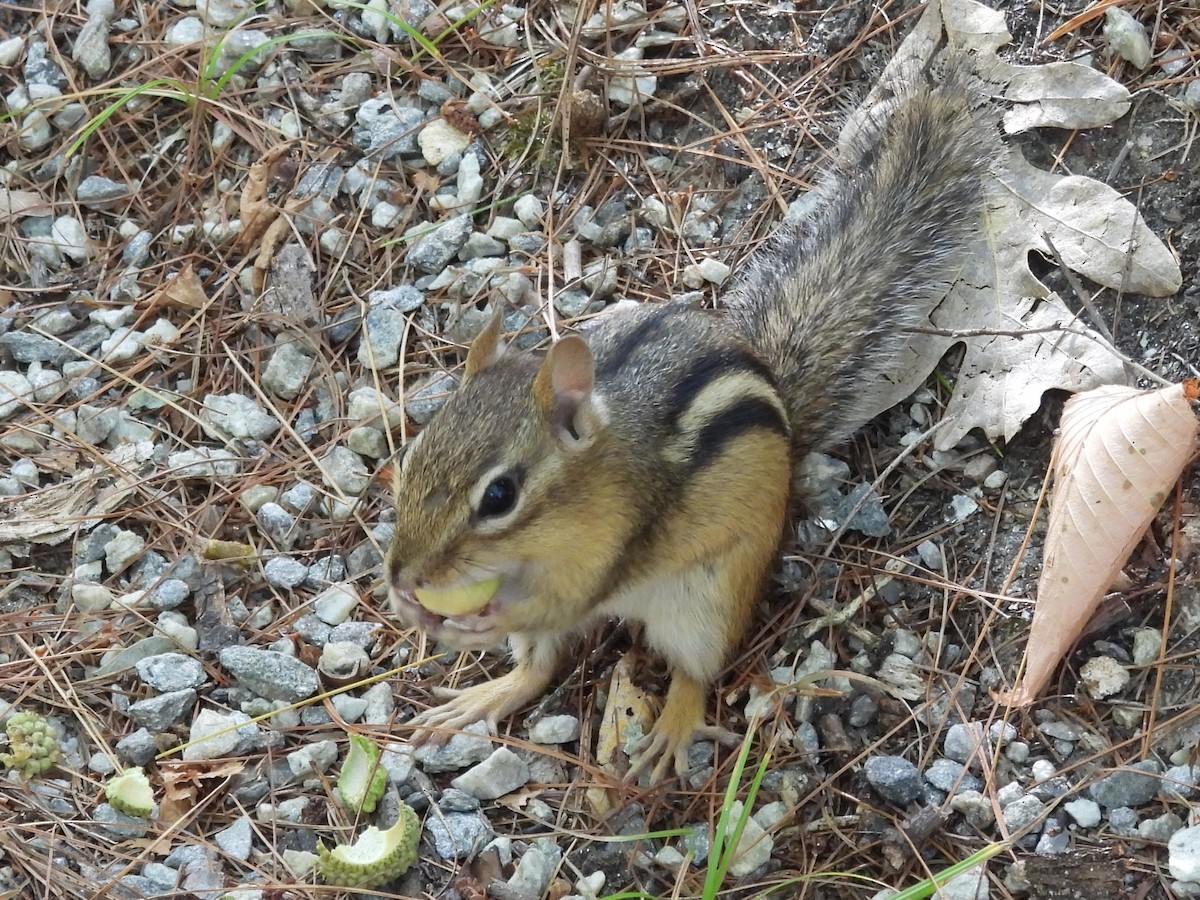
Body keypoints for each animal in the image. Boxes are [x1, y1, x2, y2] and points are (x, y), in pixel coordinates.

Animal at [384, 74, 993, 783]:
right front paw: (412, 610)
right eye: (413, 455)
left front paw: (475, 621)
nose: (402, 576)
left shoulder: (612, 547)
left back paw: (672, 731)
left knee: (695, 671)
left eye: (500, 497)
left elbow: (563, 602)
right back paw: (483, 698)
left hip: (707, 599)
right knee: (536, 670)